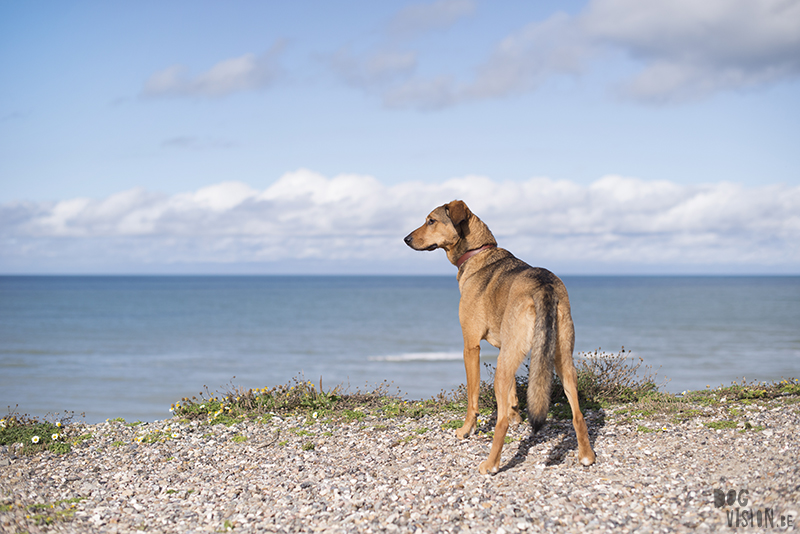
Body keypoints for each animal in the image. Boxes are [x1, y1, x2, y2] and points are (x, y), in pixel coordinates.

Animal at [406, 200, 592, 474]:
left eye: (431, 220)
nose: (406, 239)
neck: (477, 253)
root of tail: (543, 286)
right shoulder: (508, 348)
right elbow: (514, 390)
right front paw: (516, 414)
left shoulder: (471, 346)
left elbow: (472, 399)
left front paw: (466, 429)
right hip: (561, 360)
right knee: (577, 413)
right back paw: (587, 456)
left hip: (503, 368)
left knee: (499, 422)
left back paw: (490, 464)